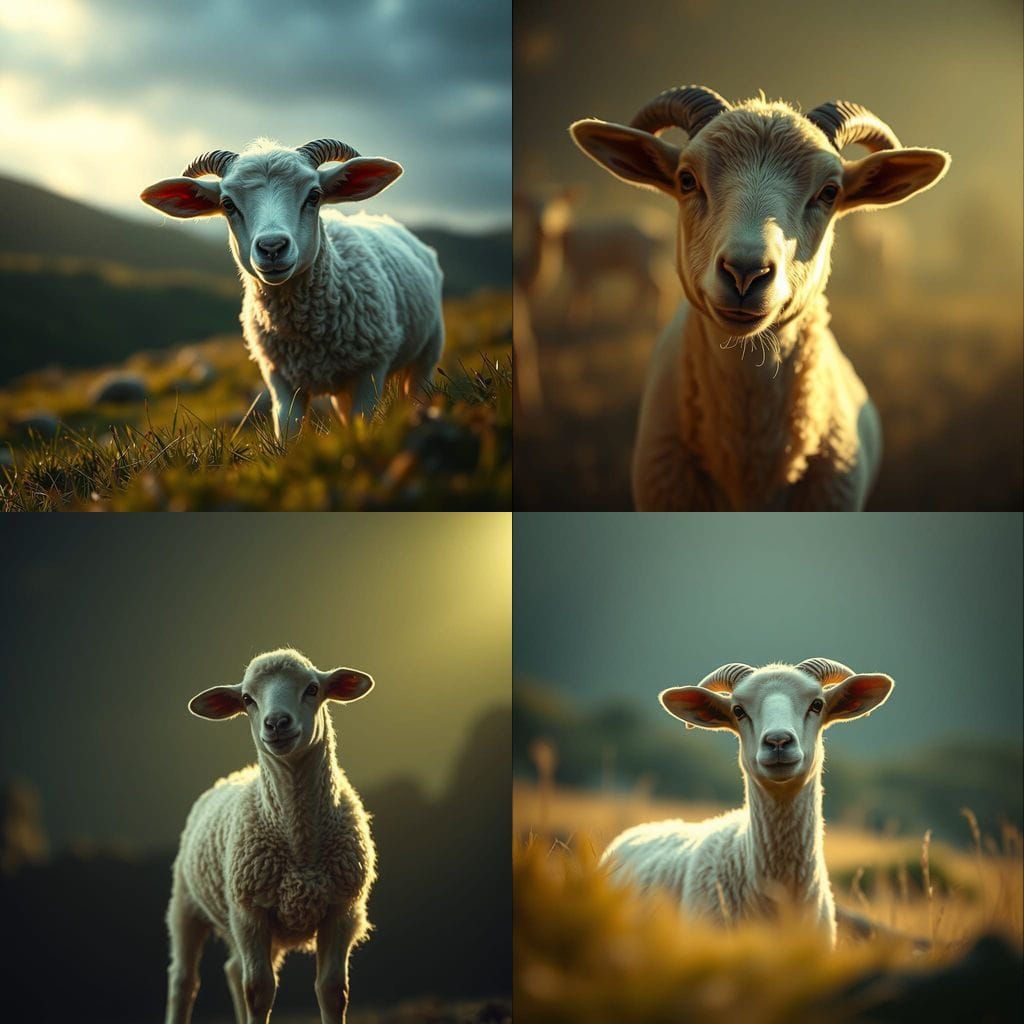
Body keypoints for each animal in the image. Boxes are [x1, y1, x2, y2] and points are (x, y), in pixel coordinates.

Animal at [141, 139, 444, 440]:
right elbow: (288, 432)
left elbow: (362, 423)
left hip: (428, 351)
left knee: (416, 391)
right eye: (227, 204)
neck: (305, 337)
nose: (272, 247)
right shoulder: (280, 379)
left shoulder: (370, 371)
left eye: (314, 195)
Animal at [165, 648, 376, 1024]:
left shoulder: (342, 909)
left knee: (233, 970)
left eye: (312, 689)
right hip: (186, 904)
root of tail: (236, 774)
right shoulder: (251, 913)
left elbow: (332, 990)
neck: (301, 841)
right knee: (184, 980)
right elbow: (259, 990)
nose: (276, 723)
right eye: (248, 699)